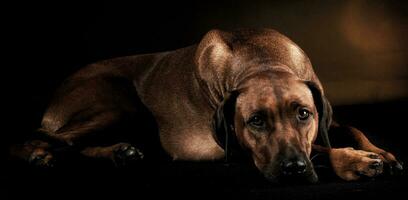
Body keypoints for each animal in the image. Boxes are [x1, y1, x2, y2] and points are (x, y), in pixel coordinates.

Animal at [11, 28, 404, 183]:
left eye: (303, 114)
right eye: (255, 121)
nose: (293, 169)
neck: (260, 60)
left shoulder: (323, 112)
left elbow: (349, 127)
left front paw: (382, 153)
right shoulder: (235, 147)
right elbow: (321, 147)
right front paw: (354, 161)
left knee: (74, 145)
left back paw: (120, 152)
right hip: (120, 104)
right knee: (40, 139)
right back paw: (37, 155)